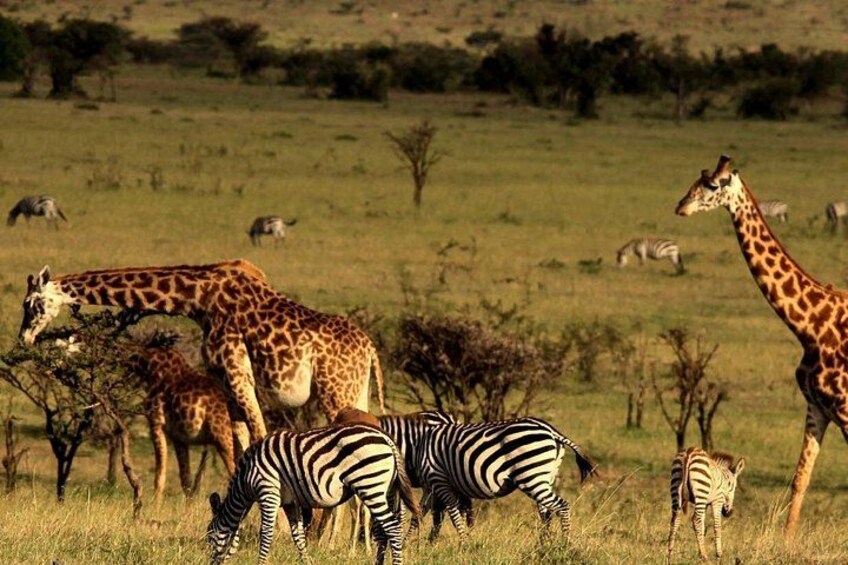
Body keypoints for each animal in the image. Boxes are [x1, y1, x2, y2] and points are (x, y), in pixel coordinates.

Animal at [18, 259, 387, 454]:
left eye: (30, 304)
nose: (23, 338)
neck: (198, 298)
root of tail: (370, 349)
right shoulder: (225, 383)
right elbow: (241, 444)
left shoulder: (237, 373)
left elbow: (260, 437)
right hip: (357, 391)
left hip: (335, 393)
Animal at [127, 332, 235, 505]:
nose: (127, 360)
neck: (152, 370)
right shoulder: (179, 438)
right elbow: (186, 480)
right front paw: (187, 509)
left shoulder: (156, 424)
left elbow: (159, 476)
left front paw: (155, 507)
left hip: (223, 436)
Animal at [206, 424, 419, 565]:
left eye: (209, 536)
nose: (209, 562)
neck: (246, 478)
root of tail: (387, 439)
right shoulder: (290, 502)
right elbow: (298, 536)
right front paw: (307, 561)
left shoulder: (268, 492)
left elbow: (265, 533)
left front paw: (261, 562)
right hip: (386, 491)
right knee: (384, 532)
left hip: (370, 486)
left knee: (393, 529)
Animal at [411, 417, 596, 544]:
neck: (419, 447)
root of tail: (552, 432)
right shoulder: (433, 486)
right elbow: (422, 512)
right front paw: (415, 544)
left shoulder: (438, 479)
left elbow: (449, 513)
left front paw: (462, 544)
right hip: (546, 477)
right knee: (547, 513)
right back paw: (543, 546)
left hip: (531, 476)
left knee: (562, 506)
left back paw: (564, 545)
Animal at [675, 154, 848, 541]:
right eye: (697, 178)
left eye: (712, 185)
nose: (681, 207)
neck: (809, 326)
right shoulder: (816, 407)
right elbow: (800, 479)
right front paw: (786, 543)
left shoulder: (845, 408)